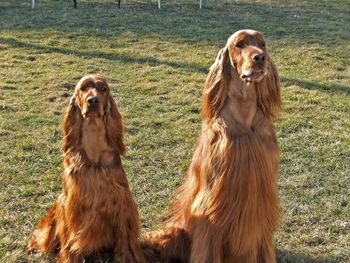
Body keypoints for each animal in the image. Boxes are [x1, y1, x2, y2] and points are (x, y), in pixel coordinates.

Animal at [27, 75, 145, 263]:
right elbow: (71, 241)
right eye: (83, 88)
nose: (93, 100)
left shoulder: (122, 201)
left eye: (103, 89)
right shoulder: (71, 203)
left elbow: (125, 239)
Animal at [145, 29, 282, 263]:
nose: (260, 58)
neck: (244, 120)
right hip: (174, 232)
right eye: (239, 44)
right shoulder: (210, 206)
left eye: (262, 44)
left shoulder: (263, 201)